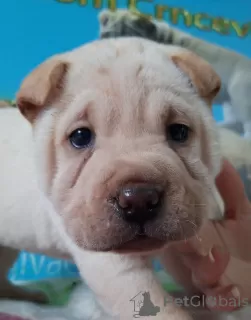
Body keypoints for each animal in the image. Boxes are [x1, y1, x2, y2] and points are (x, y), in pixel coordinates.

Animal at [0, 37, 250, 318]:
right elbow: (161, 308)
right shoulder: (113, 264)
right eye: (80, 137)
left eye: (179, 132)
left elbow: (190, 272)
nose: (139, 199)